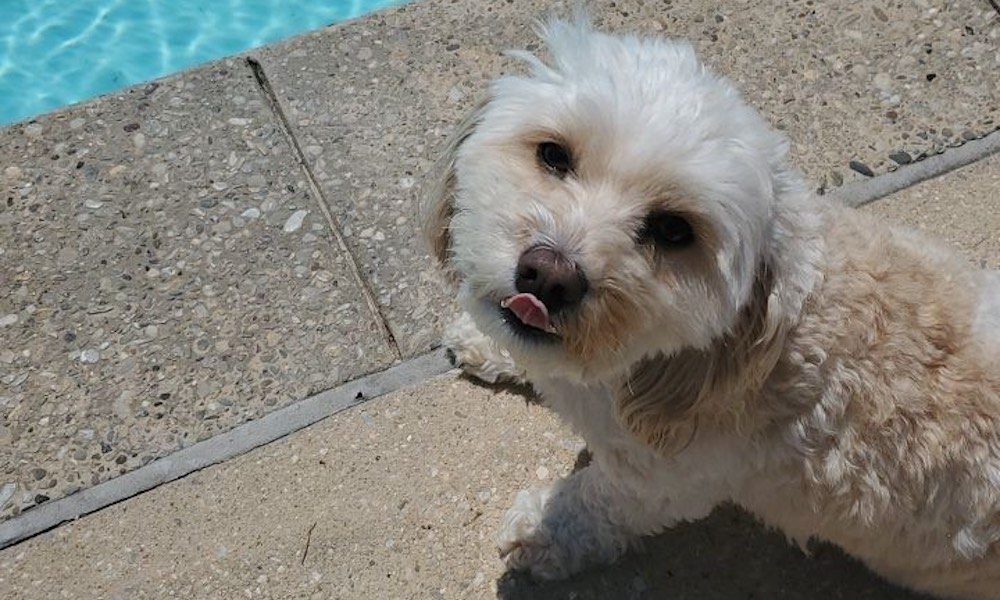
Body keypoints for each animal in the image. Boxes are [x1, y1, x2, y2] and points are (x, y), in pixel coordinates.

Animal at [422, 16, 1000, 596]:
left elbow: (594, 503)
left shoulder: (661, 479)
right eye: (554, 155)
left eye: (674, 230)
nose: (548, 276)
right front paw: (484, 342)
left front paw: (543, 532)